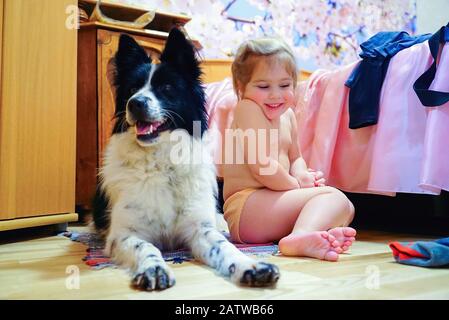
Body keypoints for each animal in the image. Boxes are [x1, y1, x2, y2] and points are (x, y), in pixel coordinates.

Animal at [92, 28, 276, 292]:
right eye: (132, 89)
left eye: (167, 87)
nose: (135, 103)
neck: (160, 161)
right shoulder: (124, 234)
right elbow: (147, 247)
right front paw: (154, 268)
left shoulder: (199, 229)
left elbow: (225, 247)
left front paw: (250, 265)